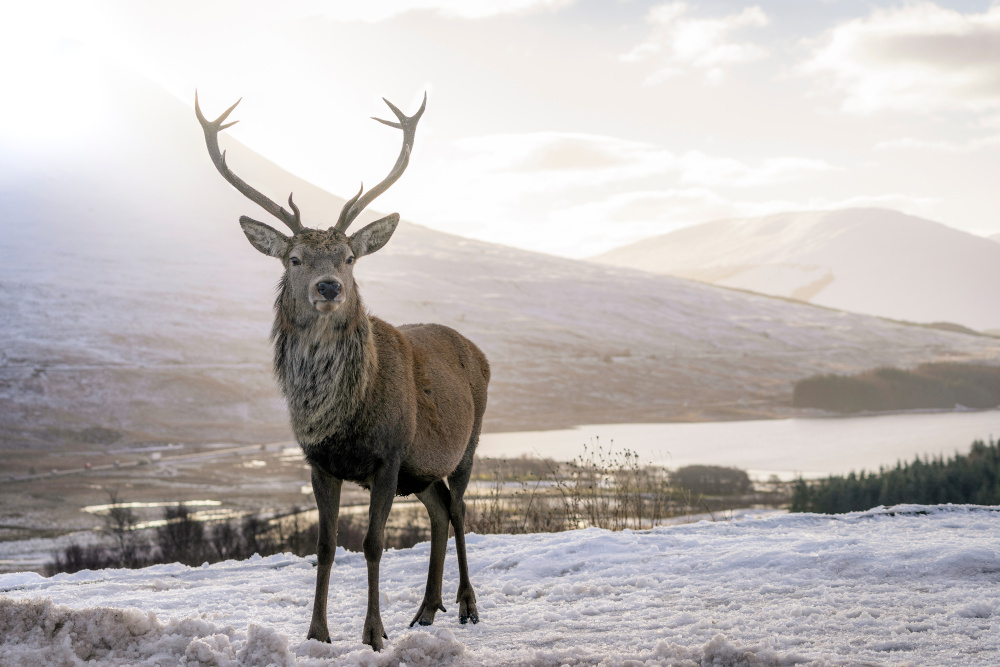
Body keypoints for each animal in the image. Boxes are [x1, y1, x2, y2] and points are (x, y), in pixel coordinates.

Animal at [193, 91, 490, 648]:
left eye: (350, 257)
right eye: (294, 258)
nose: (328, 286)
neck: (343, 415)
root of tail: (478, 352)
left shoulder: (389, 453)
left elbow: (373, 543)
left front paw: (373, 633)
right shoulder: (319, 462)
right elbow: (326, 545)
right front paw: (317, 632)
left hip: (468, 441)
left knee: (461, 510)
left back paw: (466, 605)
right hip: (421, 470)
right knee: (439, 510)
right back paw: (425, 610)